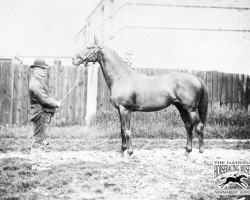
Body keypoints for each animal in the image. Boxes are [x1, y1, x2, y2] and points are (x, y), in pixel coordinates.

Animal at [73, 36, 209, 157]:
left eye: (89, 47)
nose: (74, 59)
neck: (121, 77)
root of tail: (195, 78)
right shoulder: (120, 111)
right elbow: (122, 130)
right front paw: (122, 152)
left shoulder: (125, 110)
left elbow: (127, 131)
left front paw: (129, 153)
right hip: (181, 108)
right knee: (188, 127)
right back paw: (187, 152)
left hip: (191, 109)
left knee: (199, 127)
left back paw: (201, 152)